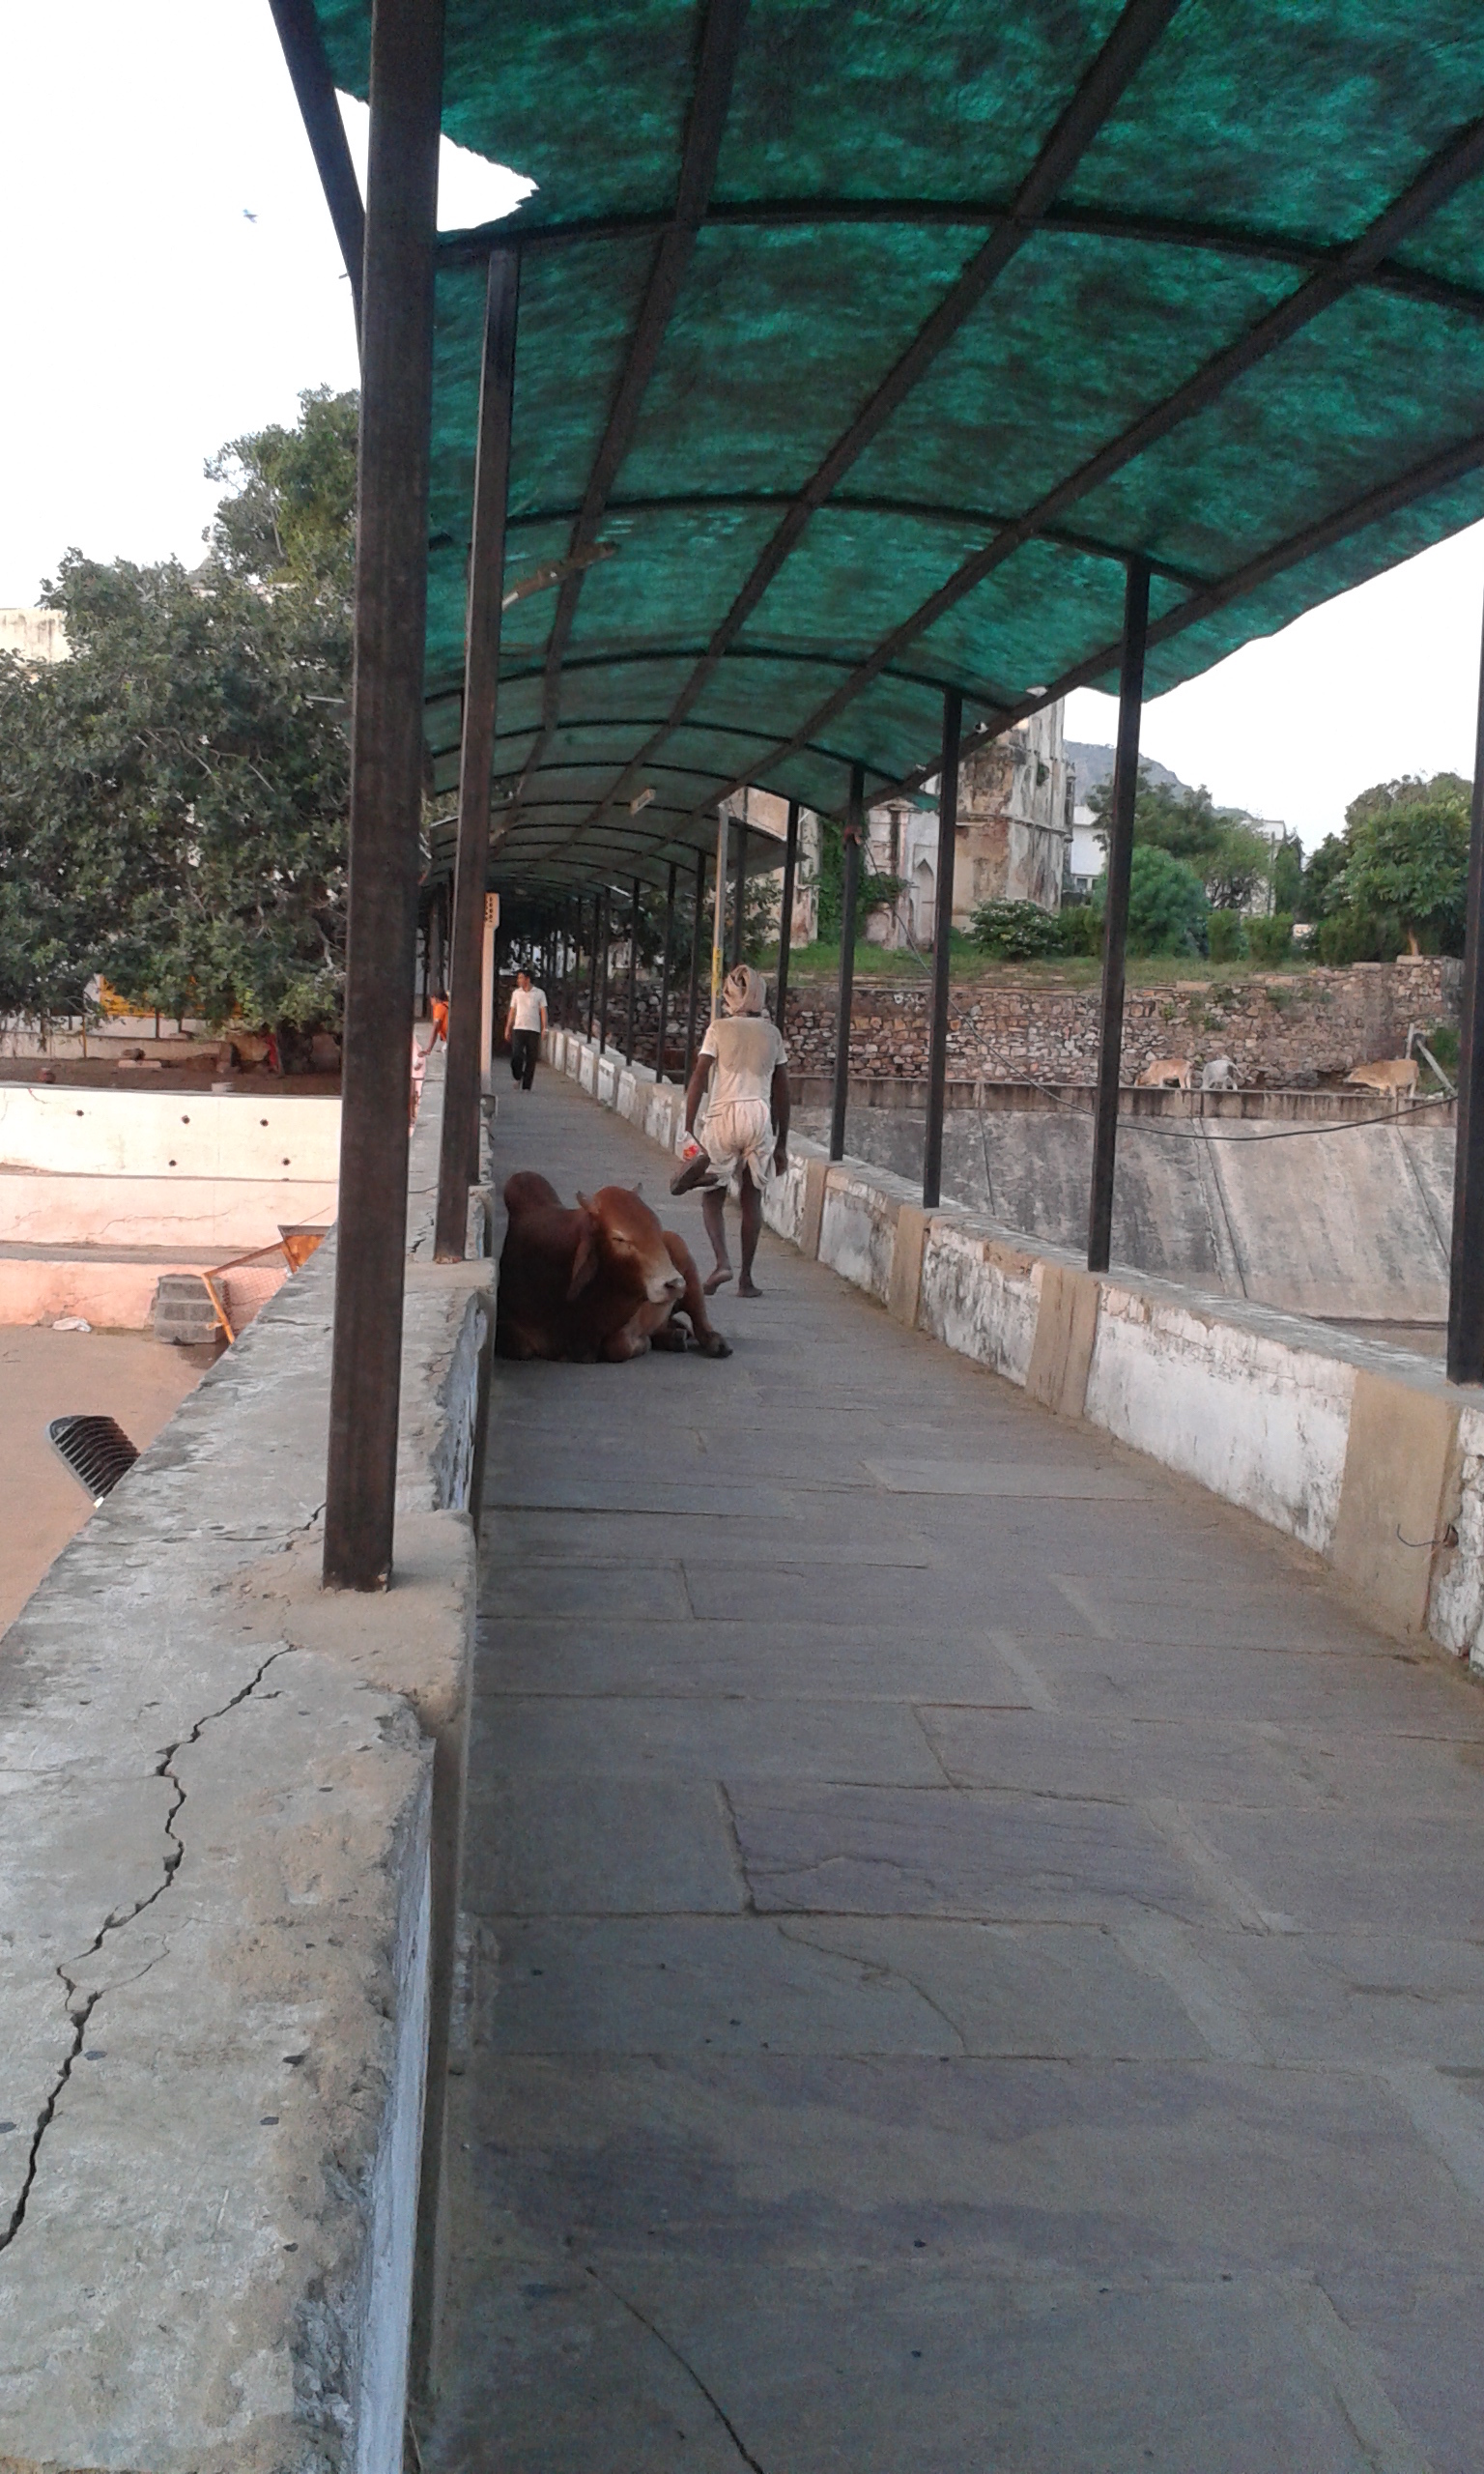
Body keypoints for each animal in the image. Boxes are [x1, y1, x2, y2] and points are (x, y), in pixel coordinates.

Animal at [496, 1172, 731, 1363]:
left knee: (699, 1317)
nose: (674, 1283)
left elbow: (617, 1347)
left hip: (682, 1255)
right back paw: (673, 1337)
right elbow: (520, 1347)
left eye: (656, 1227)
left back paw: (713, 1342)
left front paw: (644, 1344)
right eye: (618, 1238)